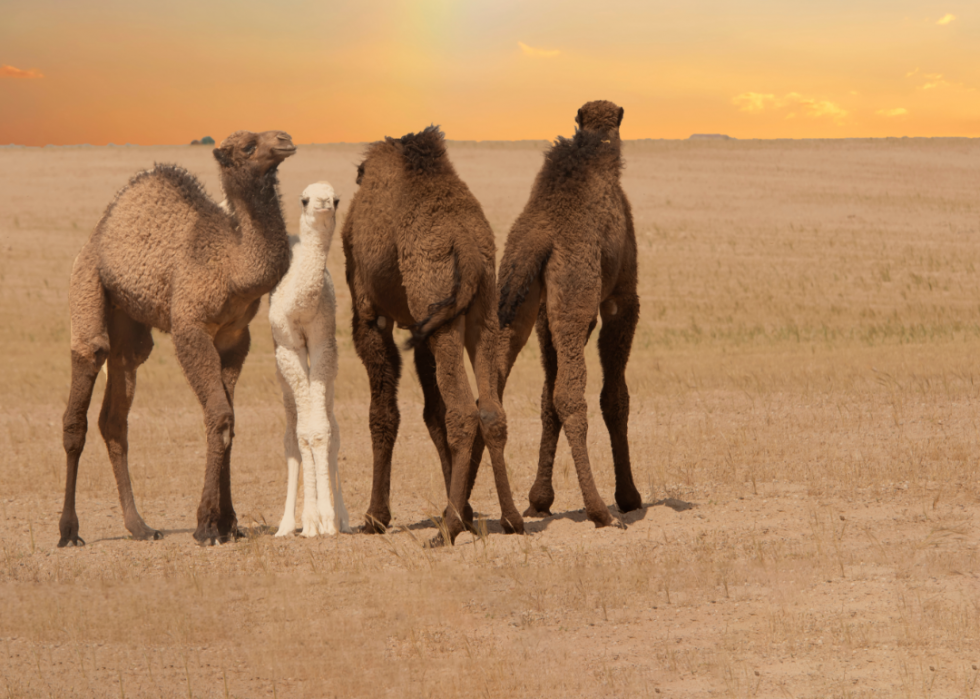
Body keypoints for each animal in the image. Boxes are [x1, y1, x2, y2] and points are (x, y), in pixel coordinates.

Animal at [59, 130, 296, 548]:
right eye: (249, 146)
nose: (285, 139)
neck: (233, 264)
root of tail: (98, 233)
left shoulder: (235, 339)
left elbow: (229, 420)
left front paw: (228, 524)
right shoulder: (191, 328)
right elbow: (219, 416)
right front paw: (206, 527)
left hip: (130, 329)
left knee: (114, 415)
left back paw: (140, 527)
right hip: (86, 282)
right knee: (85, 380)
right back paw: (69, 531)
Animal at [342, 126, 528, 548]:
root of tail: (469, 248)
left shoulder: (371, 314)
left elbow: (384, 413)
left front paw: (375, 517)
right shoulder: (421, 323)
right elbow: (432, 412)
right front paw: (467, 510)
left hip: (440, 309)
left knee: (463, 411)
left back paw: (448, 529)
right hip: (479, 314)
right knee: (489, 410)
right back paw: (510, 518)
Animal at [498, 101, 644, 532]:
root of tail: (539, 241)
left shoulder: (545, 315)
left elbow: (545, 400)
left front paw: (539, 500)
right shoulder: (620, 298)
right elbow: (615, 397)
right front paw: (629, 496)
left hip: (512, 299)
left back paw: (501, 516)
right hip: (574, 298)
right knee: (570, 396)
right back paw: (599, 511)